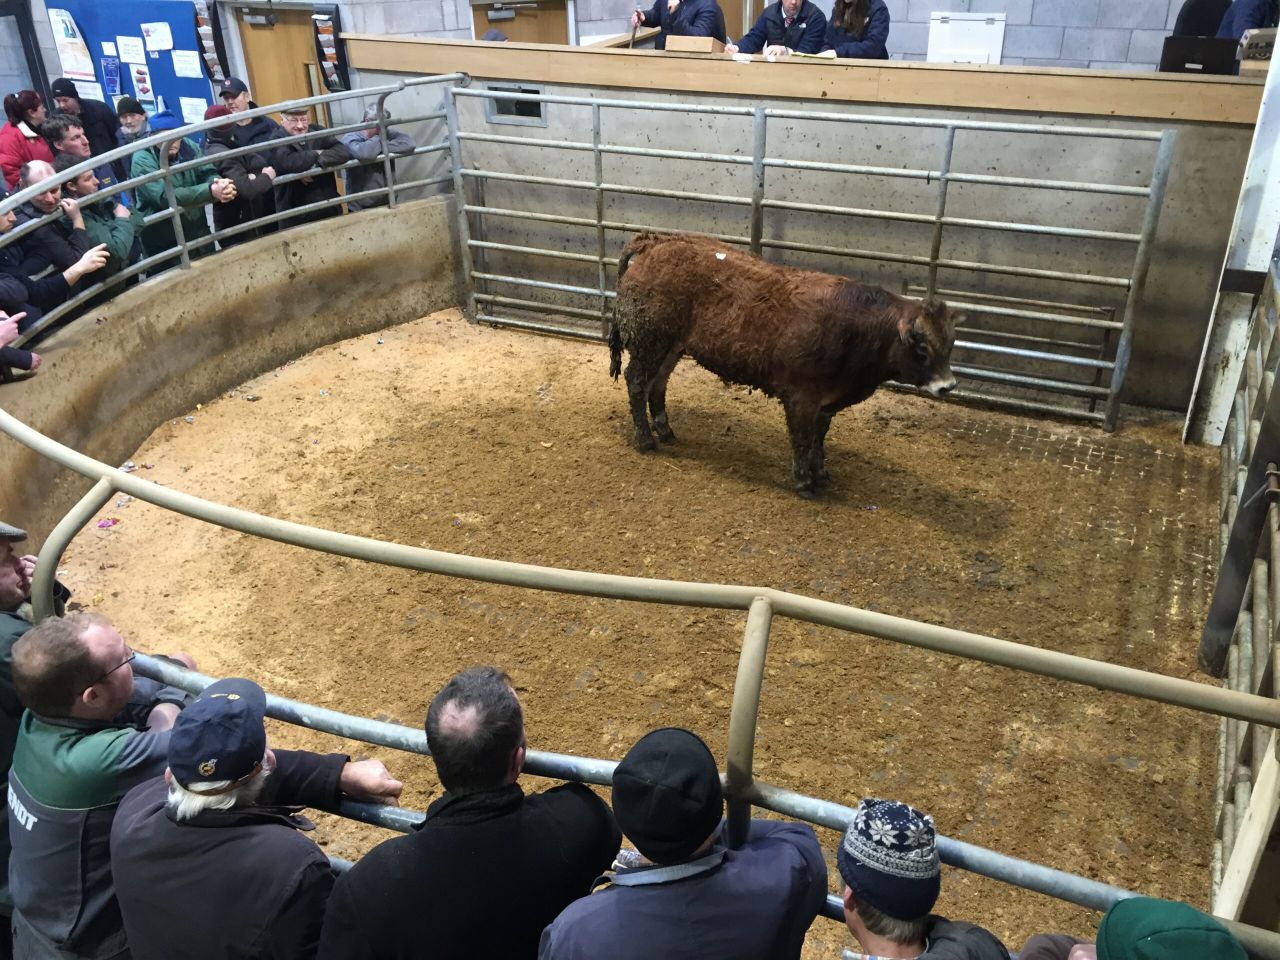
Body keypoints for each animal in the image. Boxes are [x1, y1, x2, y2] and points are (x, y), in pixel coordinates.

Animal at [607, 232, 959, 498]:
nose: (948, 385)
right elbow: (802, 439)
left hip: (671, 345)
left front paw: (821, 472)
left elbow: (818, 438)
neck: (856, 329)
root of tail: (657, 241)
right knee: (636, 381)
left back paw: (665, 429)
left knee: (658, 383)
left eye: (950, 344)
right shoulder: (801, 397)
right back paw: (645, 439)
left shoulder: (826, 403)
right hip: (650, 341)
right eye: (921, 346)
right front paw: (804, 482)